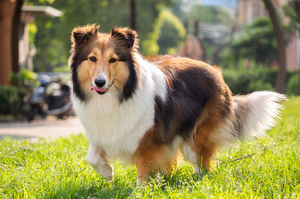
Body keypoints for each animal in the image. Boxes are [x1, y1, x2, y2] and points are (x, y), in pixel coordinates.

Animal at [69, 23, 286, 183]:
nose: (99, 82)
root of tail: (217, 71)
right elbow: (92, 156)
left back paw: (198, 183)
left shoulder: (149, 142)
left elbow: (144, 173)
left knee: (202, 165)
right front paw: (107, 172)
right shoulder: (103, 132)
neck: (119, 94)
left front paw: (142, 191)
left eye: (113, 60)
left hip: (196, 138)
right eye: (92, 58)